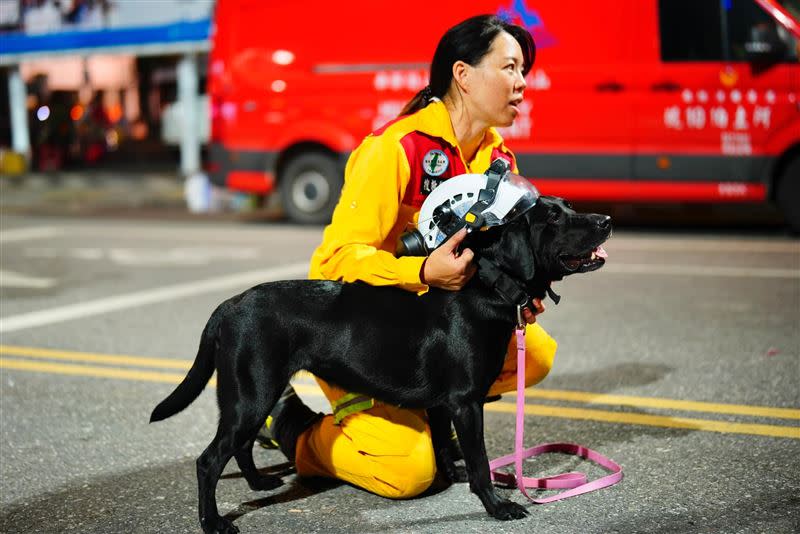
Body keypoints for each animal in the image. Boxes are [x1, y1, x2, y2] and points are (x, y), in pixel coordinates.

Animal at [152, 198, 612, 534]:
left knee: (241, 445)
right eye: (554, 217)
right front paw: (497, 506)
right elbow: (481, 463)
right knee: (209, 460)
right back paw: (213, 523)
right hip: (252, 392)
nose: (606, 220)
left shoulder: (443, 404)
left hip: (251, 394)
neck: (489, 286)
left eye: (568, 206)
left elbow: (443, 445)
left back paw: (259, 483)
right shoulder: (466, 402)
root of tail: (229, 305)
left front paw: (453, 475)